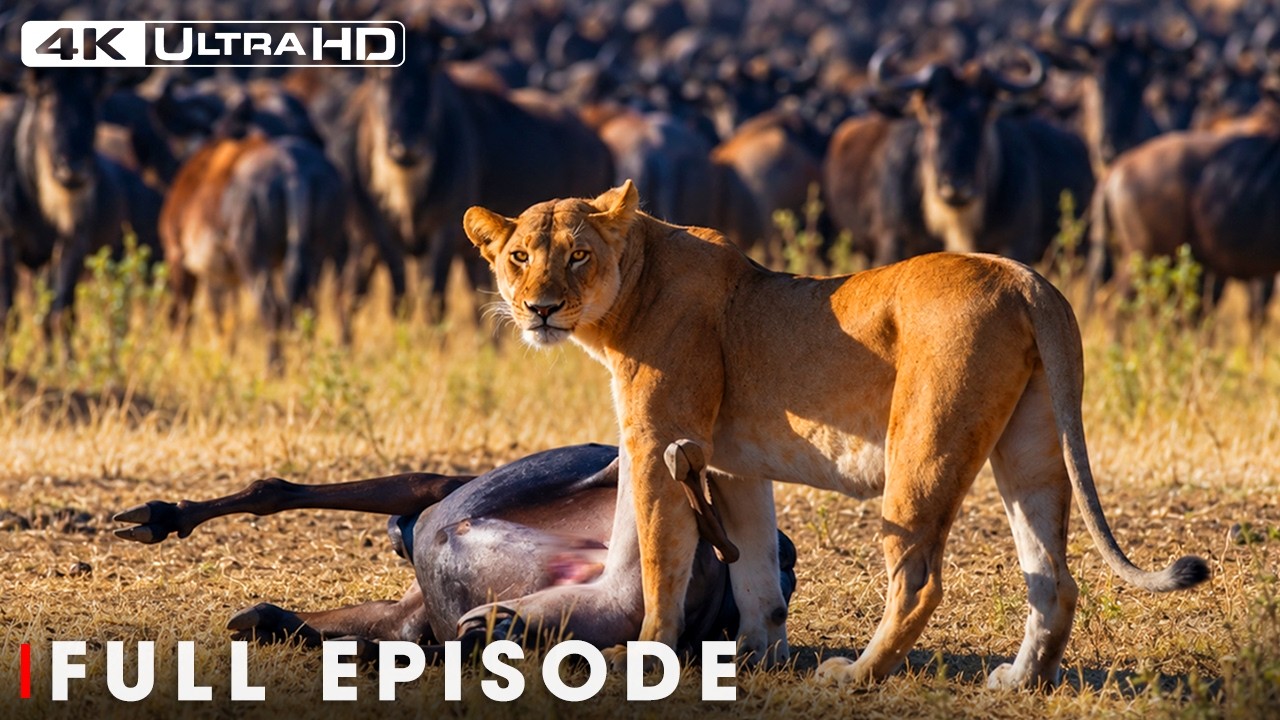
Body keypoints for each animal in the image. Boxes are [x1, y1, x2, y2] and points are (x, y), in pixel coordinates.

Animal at [462, 180, 1208, 689]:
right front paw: (757, 655)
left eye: (578, 256)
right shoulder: (727, 465)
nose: (540, 309)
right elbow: (756, 570)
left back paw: (856, 676)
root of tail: (1023, 276)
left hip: (922, 449)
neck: (629, 290)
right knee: (1054, 577)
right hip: (1029, 447)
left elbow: (659, 563)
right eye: (519, 257)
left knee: (920, 583)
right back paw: (1018, 682)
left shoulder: (658, 442)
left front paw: (645, 656)